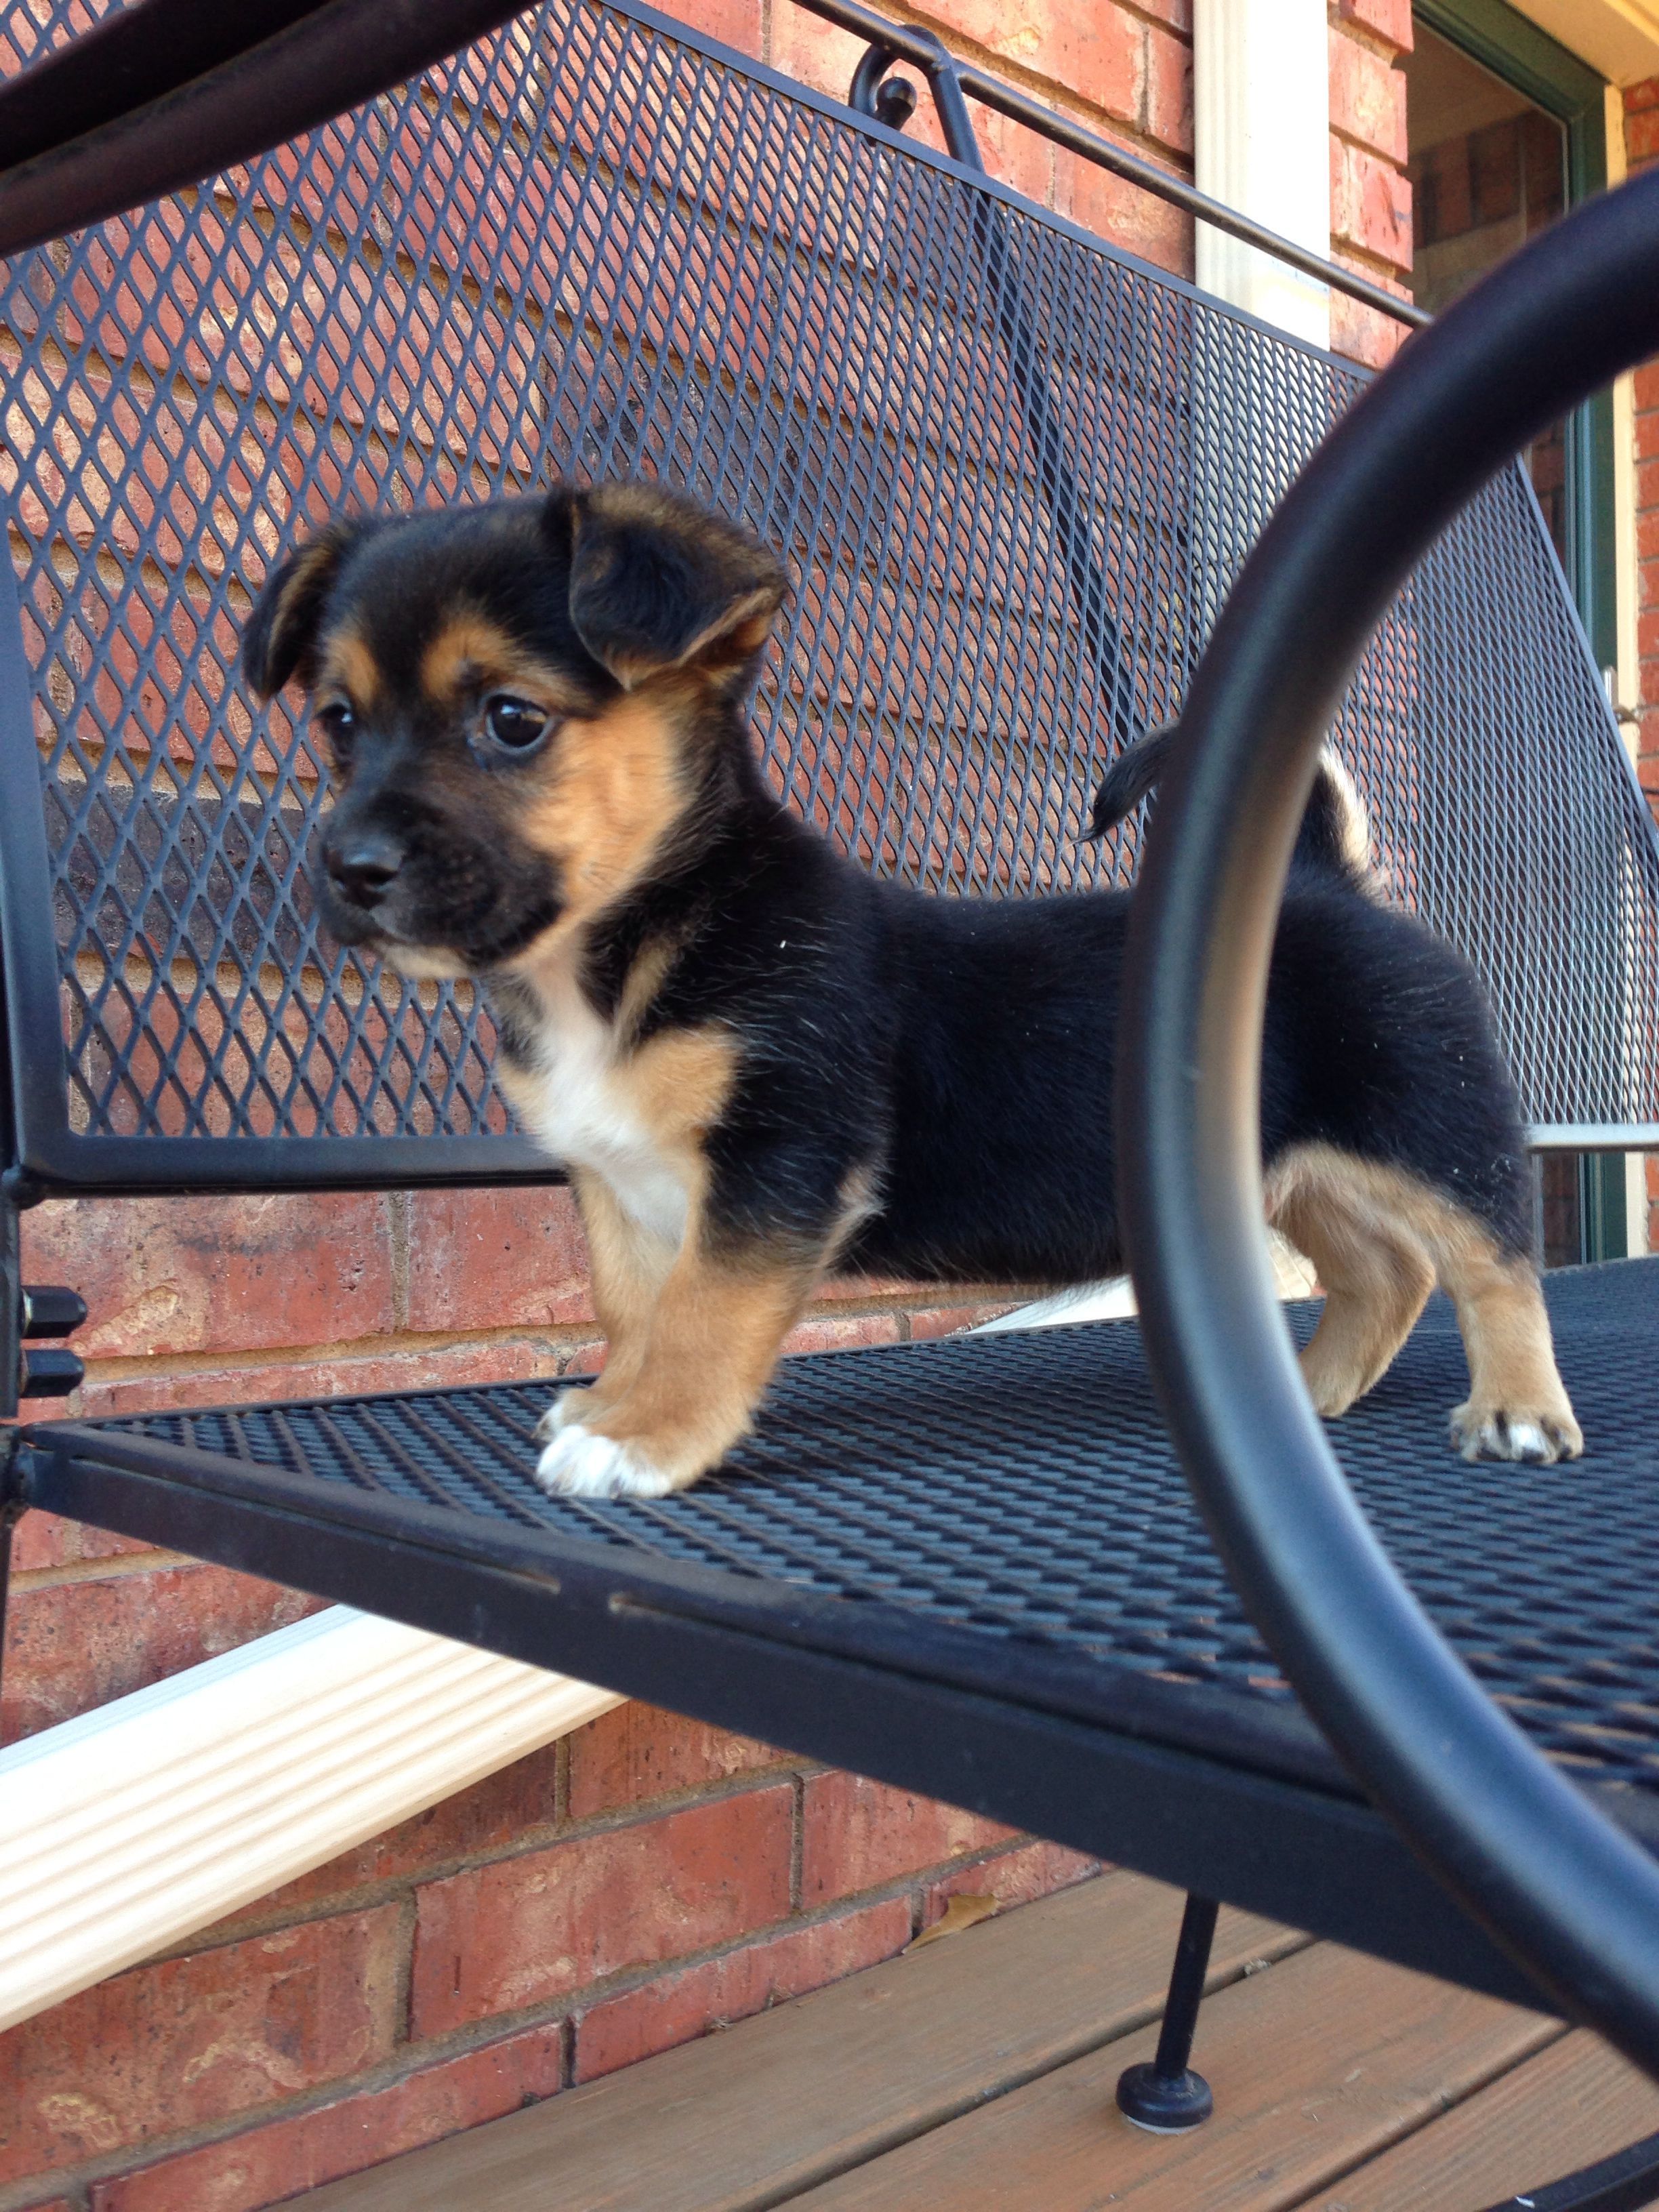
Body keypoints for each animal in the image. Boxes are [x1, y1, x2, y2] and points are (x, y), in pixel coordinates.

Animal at [243, 487, 1584, 1504]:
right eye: (339, 722)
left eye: (511, 719)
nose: (348, 869)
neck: (642, 934)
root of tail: (1321, 880)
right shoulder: (617, 1184)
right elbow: (634, 1308)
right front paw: (612, 1401)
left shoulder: (775, 1162)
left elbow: (701, 1315)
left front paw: (646, 1439)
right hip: (1292, 1164)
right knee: (1386, 1274)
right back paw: (1309, 1390)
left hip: (1425, 1126)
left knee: (1491, 1259)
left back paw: (1517, 1406)